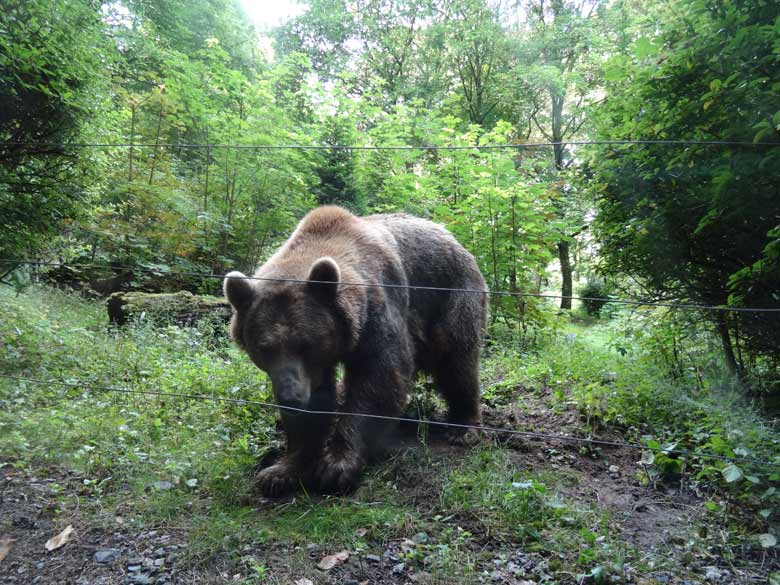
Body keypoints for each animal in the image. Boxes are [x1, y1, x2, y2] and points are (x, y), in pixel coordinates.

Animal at [222, 205, 484, 492]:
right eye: (264, 348)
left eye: (305, 344)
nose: (291, 398)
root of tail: (452, 237)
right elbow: (316, 403)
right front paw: (280, 471)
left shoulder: (375, 315)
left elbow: (378, 379)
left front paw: (336, 465)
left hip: (453, 296)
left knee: (456, 362)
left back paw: (463, 427)